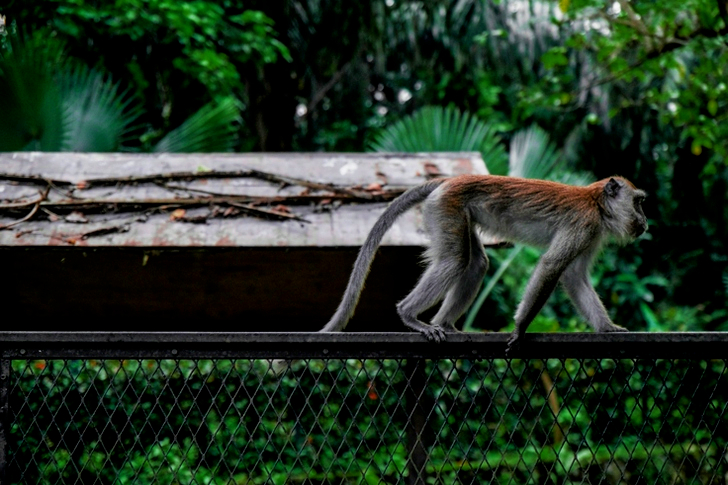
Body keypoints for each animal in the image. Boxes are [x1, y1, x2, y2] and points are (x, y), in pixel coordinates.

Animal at [319, 174, 648, 354]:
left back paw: (444, 324)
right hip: (446, 206)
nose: (645, 222)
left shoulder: (591, 234)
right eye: (639, 202)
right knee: (455, 260)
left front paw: (607, 328)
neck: (597, 204)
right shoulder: (584, 224)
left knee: (476, 263)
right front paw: (519, 329)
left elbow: (574, 277)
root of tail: (449, 180)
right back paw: (409, 315)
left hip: (457, 212)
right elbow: (552, 267)